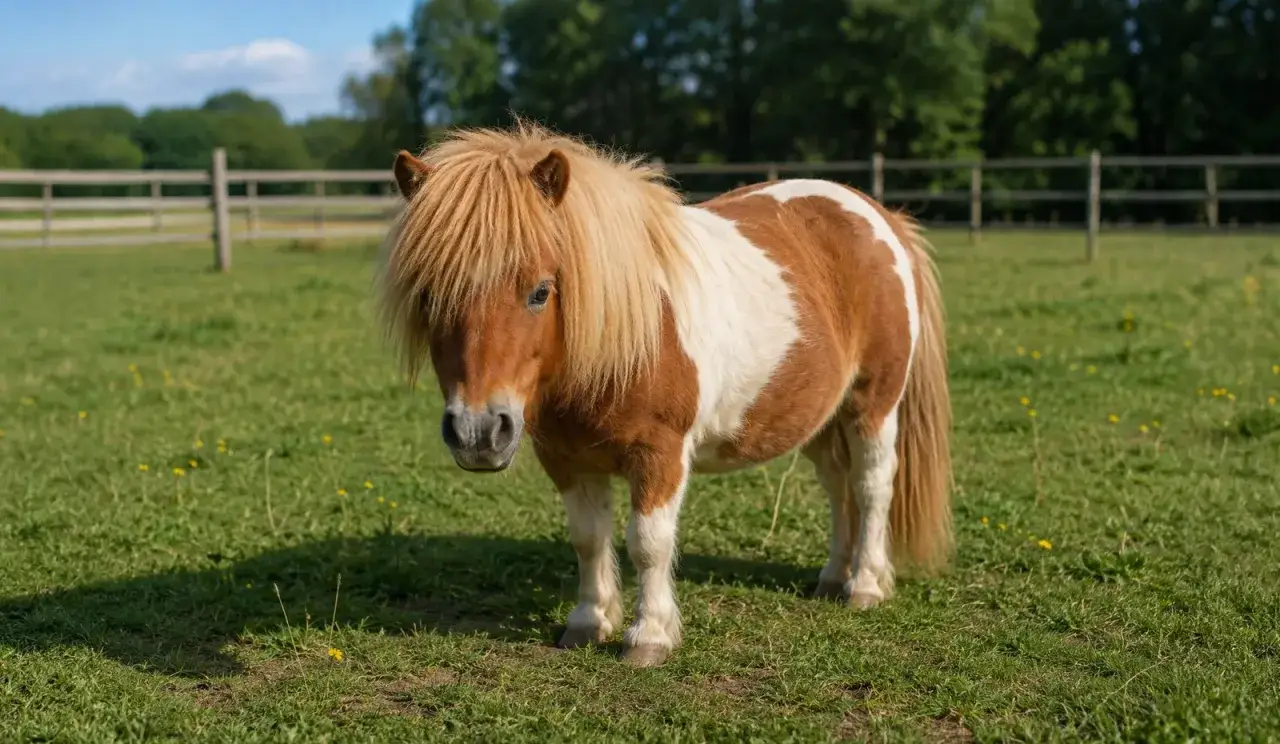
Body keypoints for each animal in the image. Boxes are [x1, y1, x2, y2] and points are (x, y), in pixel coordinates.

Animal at [377, 121, 952, 667]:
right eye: (427, 295)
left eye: (540, 291)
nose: (477, 432)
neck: (625, 336)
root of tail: (878, 214)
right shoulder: (564, 457)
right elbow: (588, 537)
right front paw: (589, 622)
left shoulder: (660, 455)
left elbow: (648, 544)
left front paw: (648, 637)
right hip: (817, 416)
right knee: (838, 487)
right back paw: (833, 577)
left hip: (873, 404)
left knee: (872, 485)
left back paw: (865, 584)